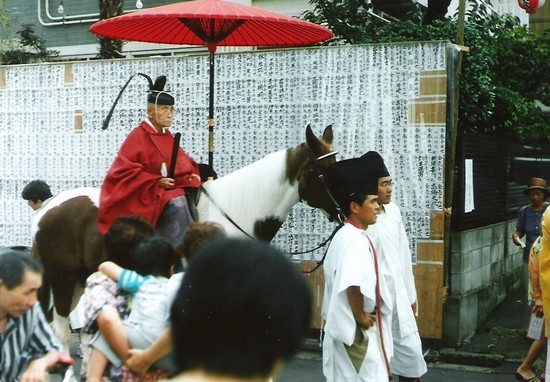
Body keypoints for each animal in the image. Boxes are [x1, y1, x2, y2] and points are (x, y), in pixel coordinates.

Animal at [32, 125, 340, 350]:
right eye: (327, 171)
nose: (344, 211)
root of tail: (49, 207)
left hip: (80, 278)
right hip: (62, 278)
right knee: (61, 330)